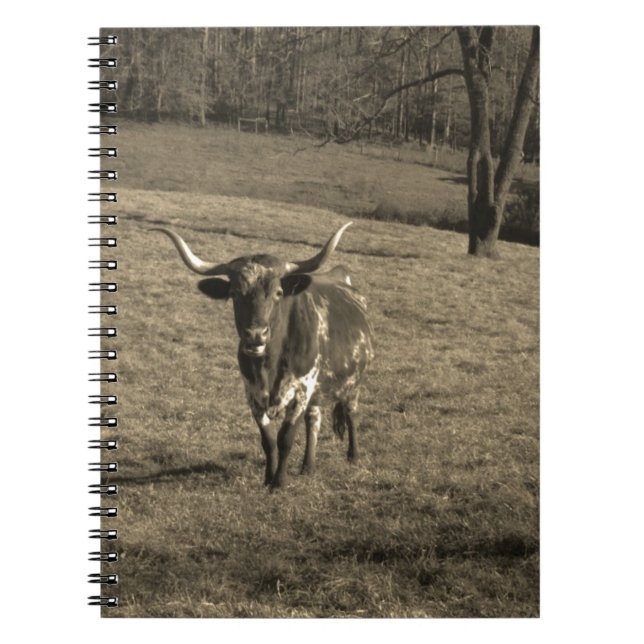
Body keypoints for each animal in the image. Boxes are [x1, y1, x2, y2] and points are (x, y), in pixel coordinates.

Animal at [153, 223, 374, 489]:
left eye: (278, 292)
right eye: (234, 293)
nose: (256, 334)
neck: (269, 365)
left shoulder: (301, 391)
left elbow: (285, 438)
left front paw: (279, 482)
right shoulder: (253, 394)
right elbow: (268, 440)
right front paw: (268, 478)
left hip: (354, 383)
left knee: (351, 414)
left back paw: (354, 455)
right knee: (314, 419)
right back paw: (308, 466)